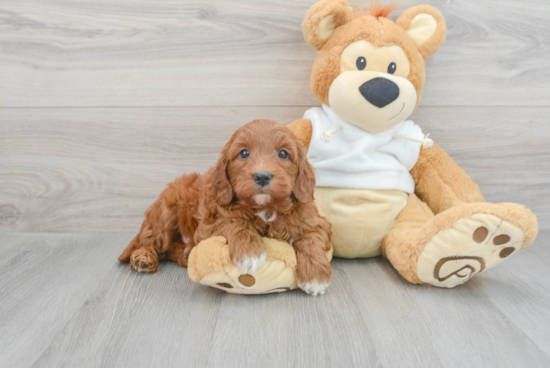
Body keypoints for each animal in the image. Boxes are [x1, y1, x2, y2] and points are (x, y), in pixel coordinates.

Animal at [119, 119, 332, 294]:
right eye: (244, 153)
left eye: (283, 153)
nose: (262, 176)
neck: (264, 207)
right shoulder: (208, 225)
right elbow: (233, 222)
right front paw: (249, 252)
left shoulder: (315, 220)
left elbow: (312, 237)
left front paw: (315, 277)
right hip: (166, 211)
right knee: (153, 240)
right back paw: (143, 257)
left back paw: (186, 254)